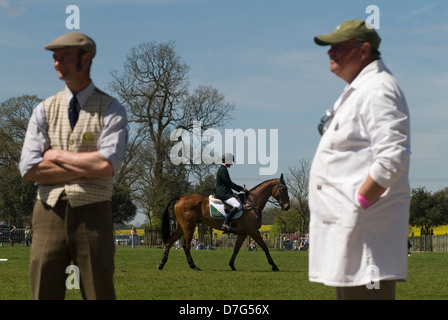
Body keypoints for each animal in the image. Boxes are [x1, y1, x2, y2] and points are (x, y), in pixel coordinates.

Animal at [158, 174, 290, 272]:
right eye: (283, 189)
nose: (287, 206)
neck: (252, 204)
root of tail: (181, 199)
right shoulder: (253, 231)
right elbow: (264, 247)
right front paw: (274, 266)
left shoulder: (243, 233)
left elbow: (236, 249)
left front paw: (232, 265)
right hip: (189, 228)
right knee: (185, 245)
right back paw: (193, 266)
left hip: (181, 227)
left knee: (169, 241)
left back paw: (161, 264)